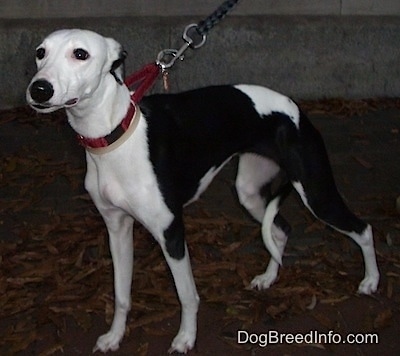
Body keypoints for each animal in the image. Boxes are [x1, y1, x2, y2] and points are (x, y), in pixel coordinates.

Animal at [25, 29, 382, 354]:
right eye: (40, 52)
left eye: (80, 54)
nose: (39, 89)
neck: (115, 136)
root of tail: (294, 107)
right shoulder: (117, 228)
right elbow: (122, 293)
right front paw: (114, 336)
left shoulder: (171, 233)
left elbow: (187, 294)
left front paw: (186, 338)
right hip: (248, 192)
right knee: (280, 229)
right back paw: (268, 278)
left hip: (317, 194)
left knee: (363, 228)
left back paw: (371, 281)